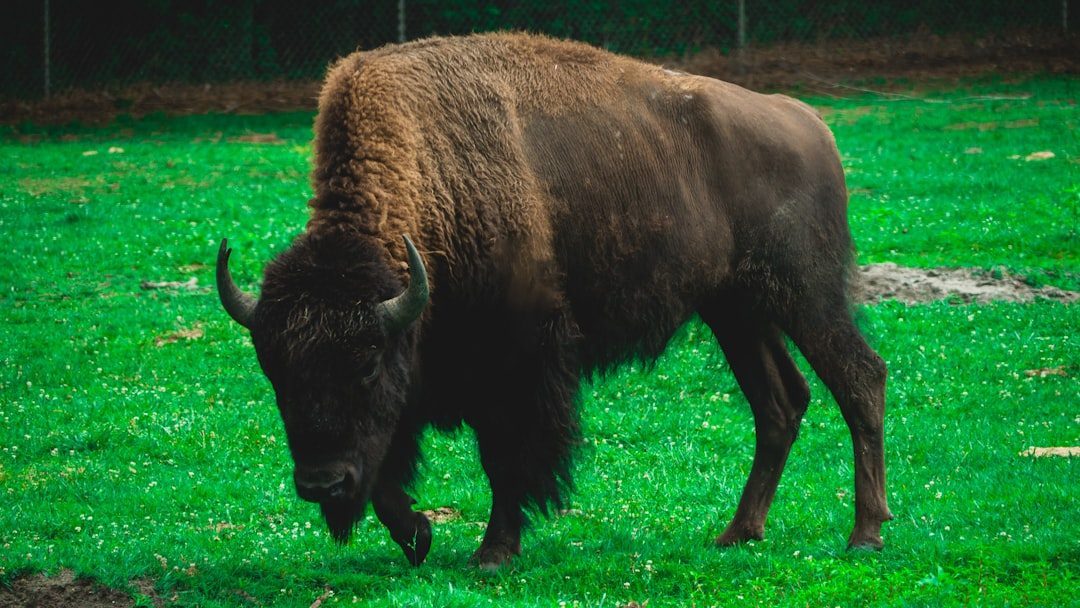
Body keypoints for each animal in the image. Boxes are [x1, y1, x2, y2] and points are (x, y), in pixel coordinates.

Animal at [216, 32, 891, 568]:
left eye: (364, 365)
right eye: (276, 373)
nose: (319, 483)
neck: (437, 174)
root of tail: (808, 122)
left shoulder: (518, 363)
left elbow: (507, 458)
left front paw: (492, 552)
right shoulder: (420, 366)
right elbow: (387, 468)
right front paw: (419, 536)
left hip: (807, 297)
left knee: (860, 377)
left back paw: (865, 535)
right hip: (737, 311)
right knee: (780, 403)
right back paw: (738, 533)